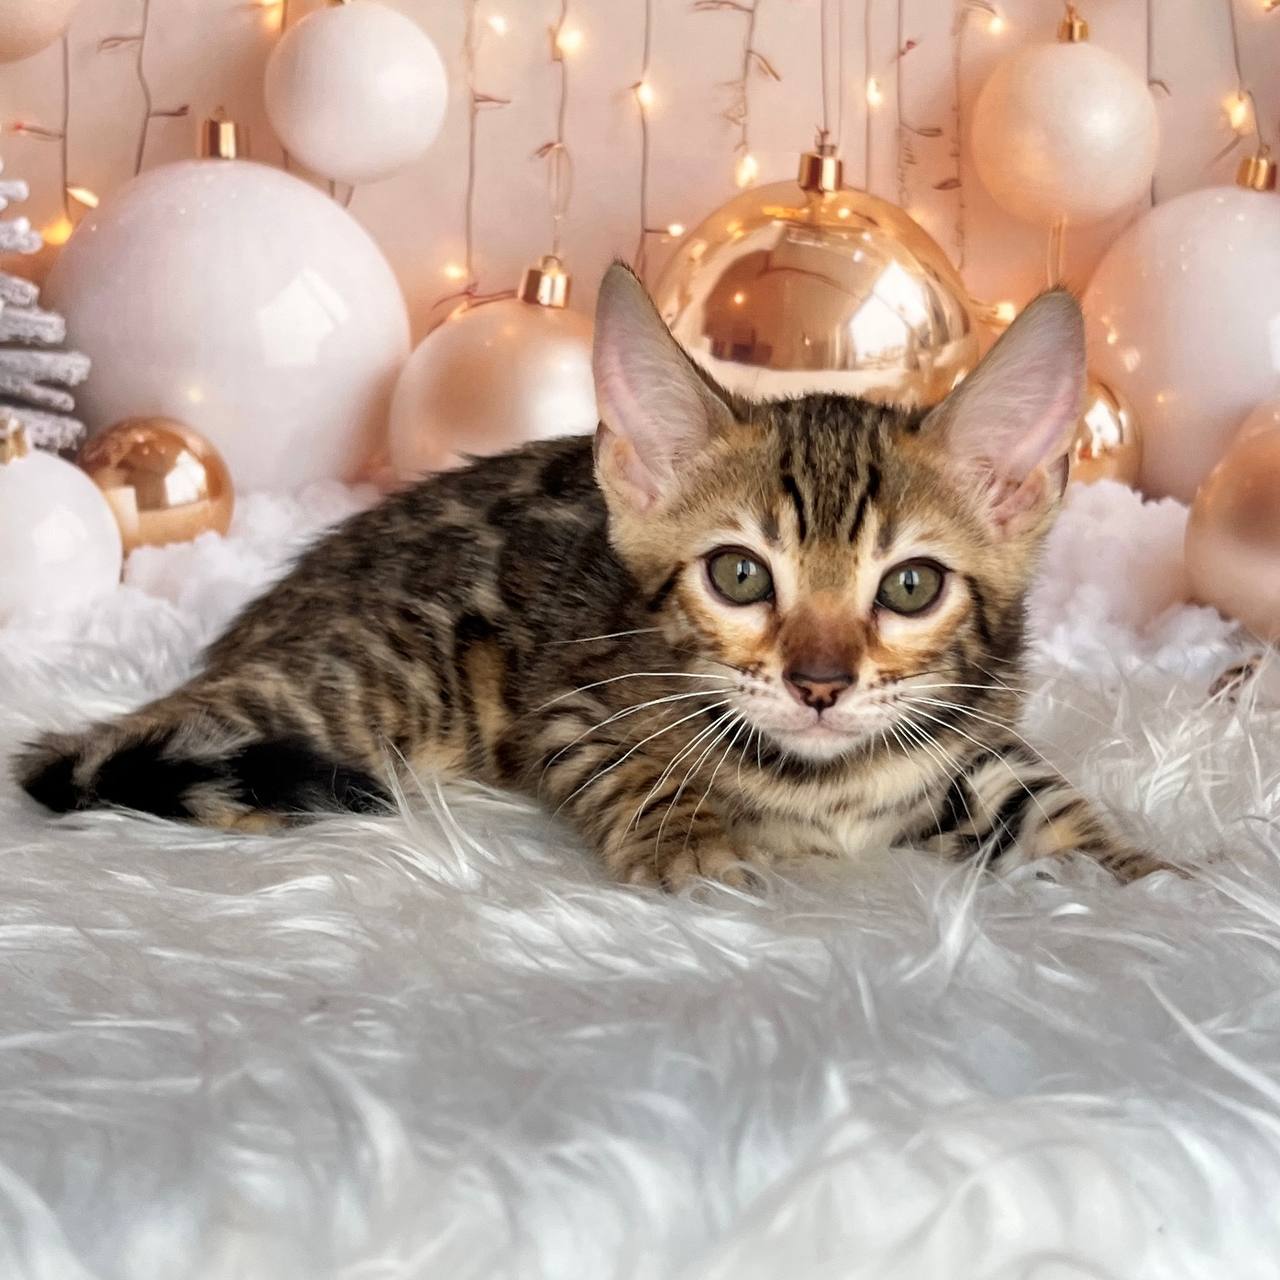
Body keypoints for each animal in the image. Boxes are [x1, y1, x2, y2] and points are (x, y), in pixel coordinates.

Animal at [15, 263, 1167, 890]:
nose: (820, 684)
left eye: (911, 586)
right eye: (740, 575)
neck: (825, 782)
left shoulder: (967, 736)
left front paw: (1151, 881)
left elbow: (1035, 791)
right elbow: (640, 772)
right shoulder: (570, 706)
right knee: (85, 748)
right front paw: (698, 849)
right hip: (373, 691)